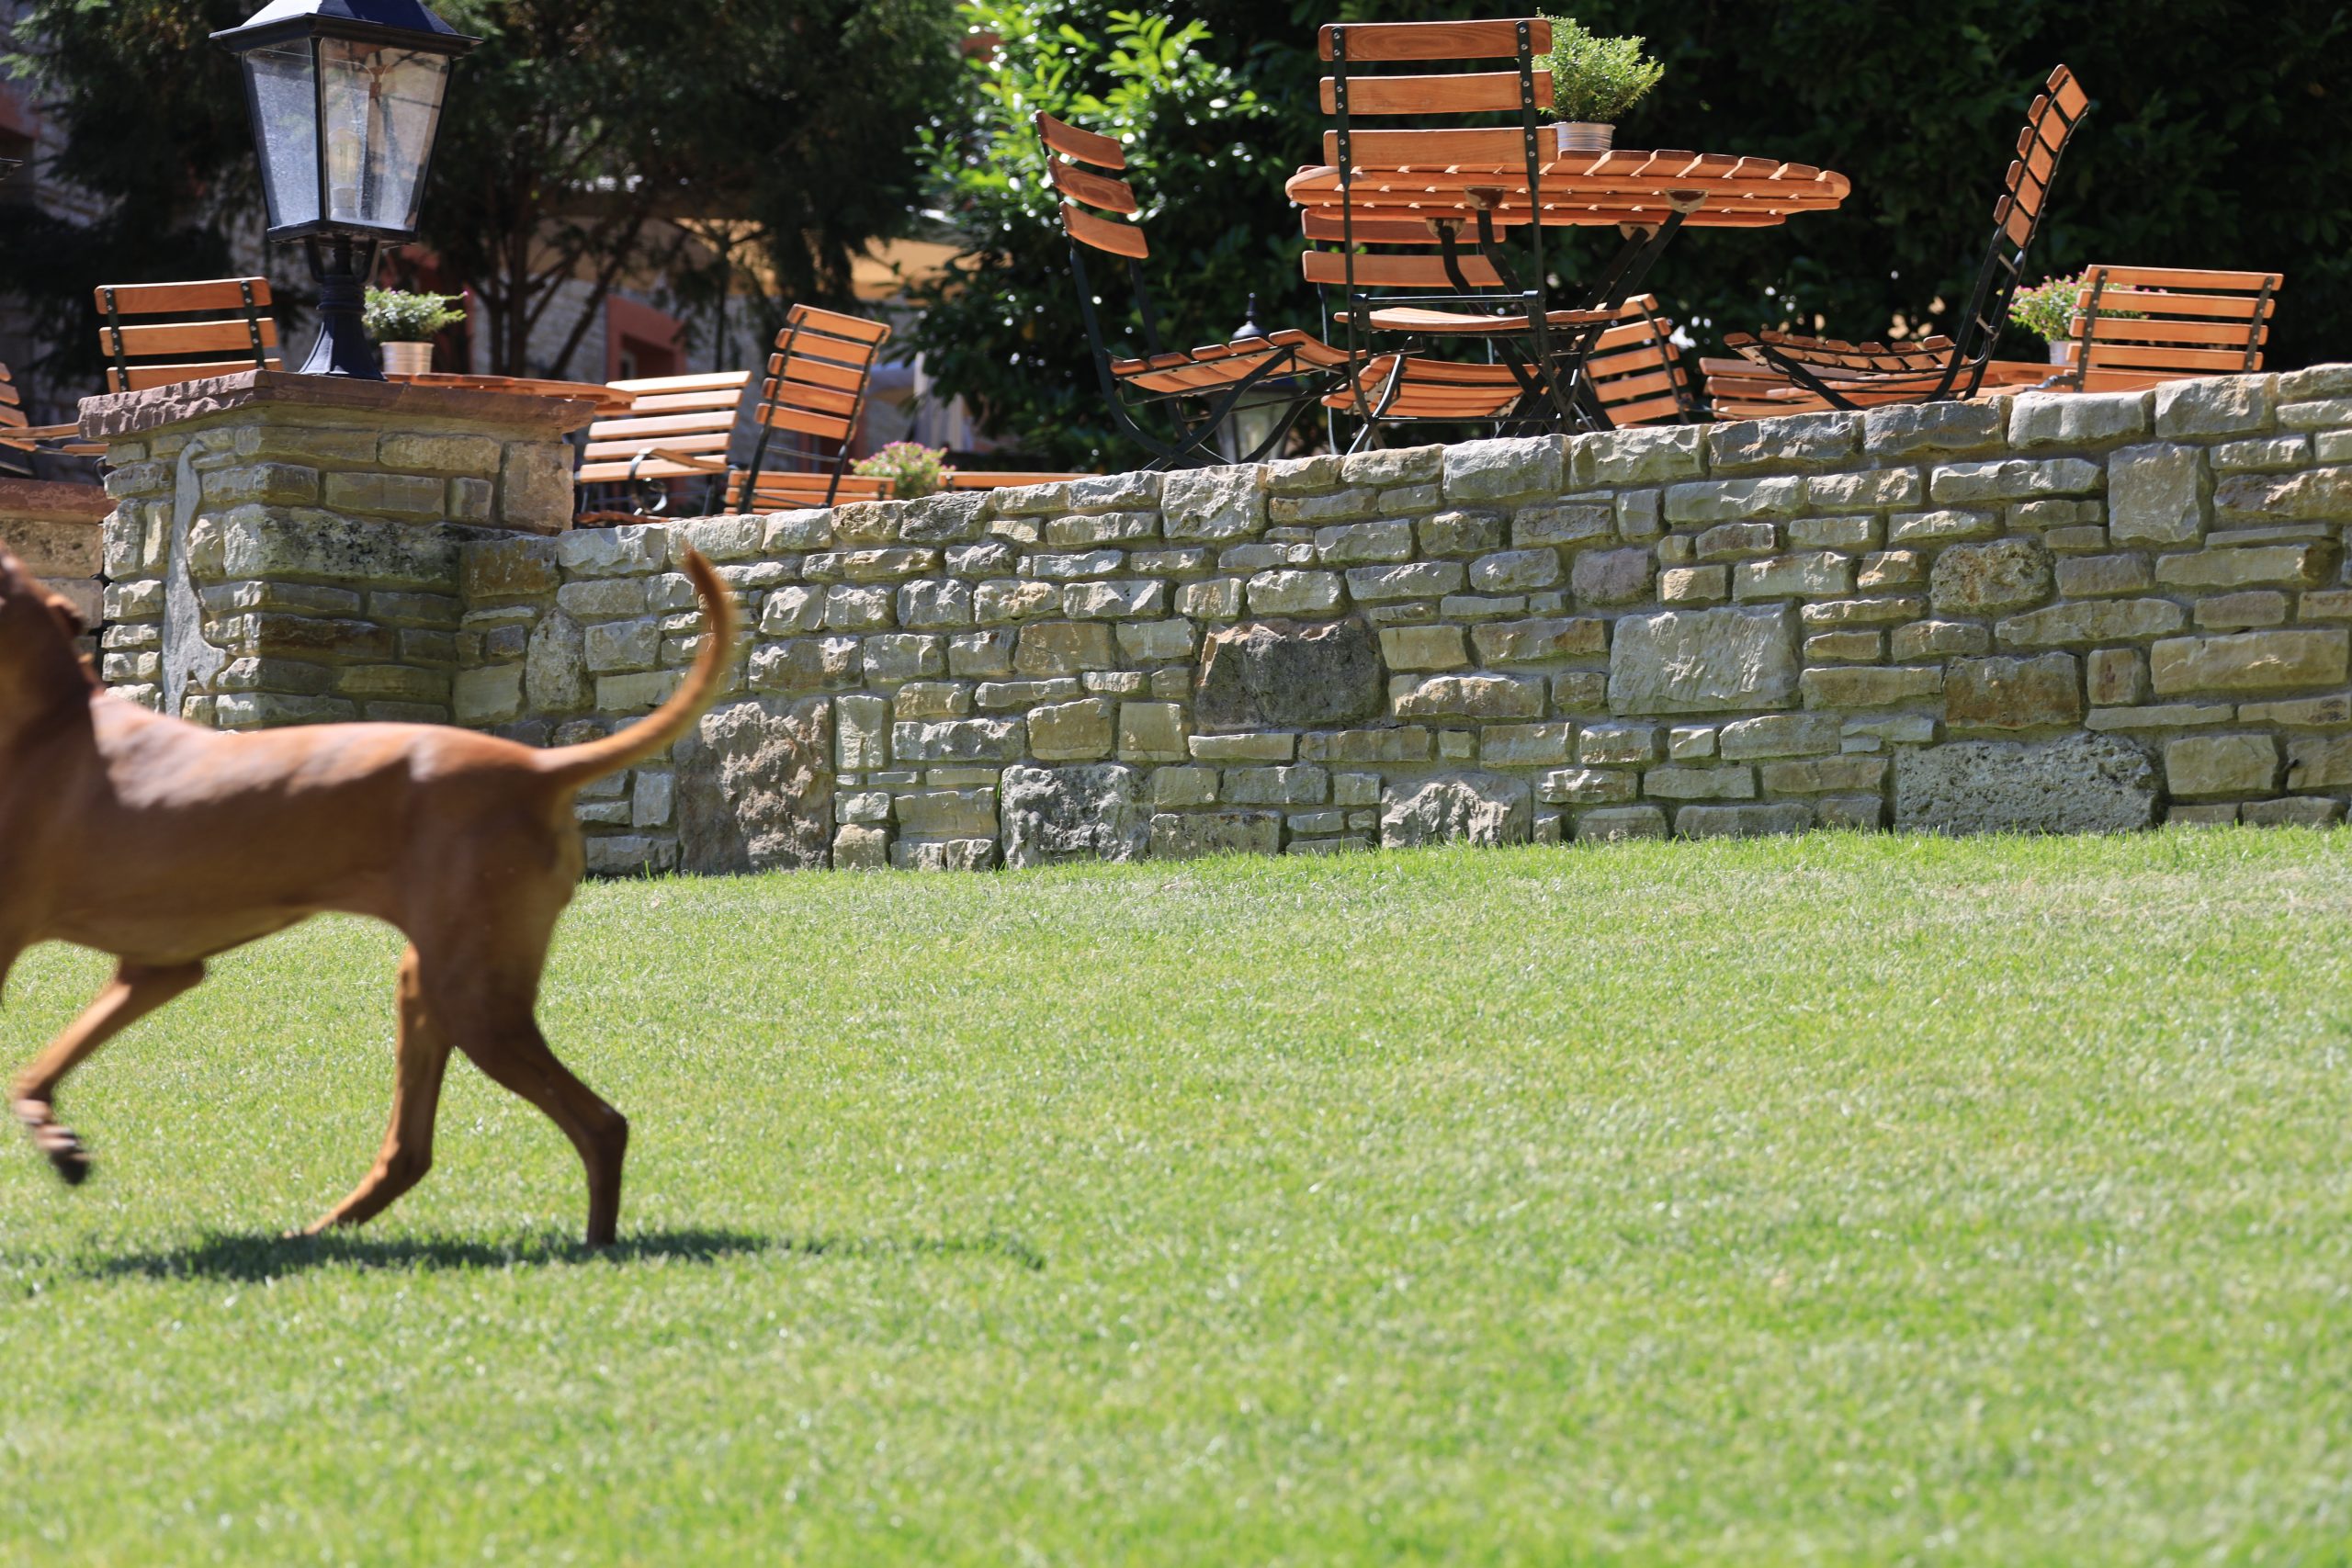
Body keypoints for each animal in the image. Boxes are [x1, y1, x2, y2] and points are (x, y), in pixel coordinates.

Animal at [0, 545, 736, 1246]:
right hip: (431, 984)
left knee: (601, 1124)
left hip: (476, 1002)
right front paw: (56, 1137)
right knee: (412, 1151)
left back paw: (593, 1247)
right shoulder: (158, 967)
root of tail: (537, 767)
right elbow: (36, 1071)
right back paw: (316, 1234)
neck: (53, 724)